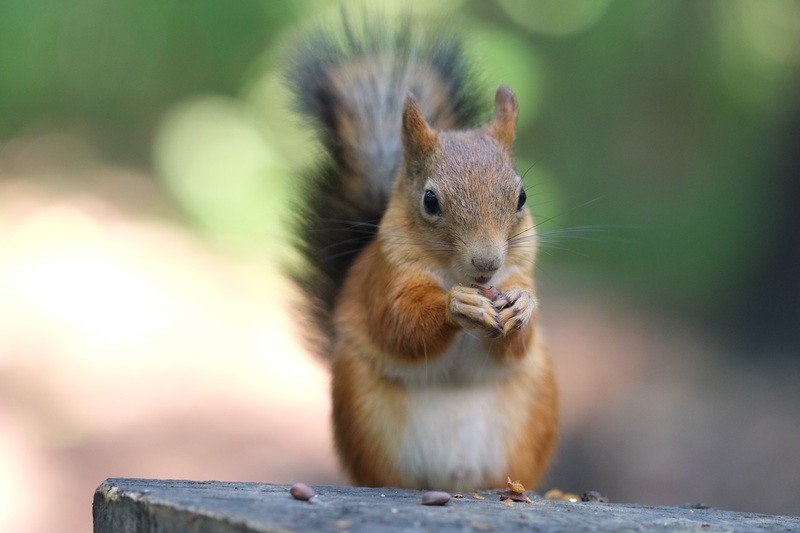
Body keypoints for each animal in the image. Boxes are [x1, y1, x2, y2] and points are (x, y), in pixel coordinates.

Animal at [288, 15, 556, 490]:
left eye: (521, 197)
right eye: (430, 201)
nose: (487, 263)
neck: (459, 274)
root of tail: (453, 480)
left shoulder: (519, 270)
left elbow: (517, 341)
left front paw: (522, 305)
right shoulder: (385, 278)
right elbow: (399, 323)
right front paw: (458, 305)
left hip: (533, 411)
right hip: (363, 411)